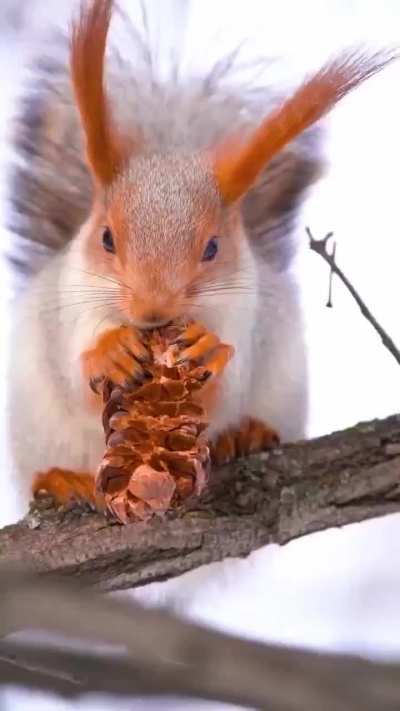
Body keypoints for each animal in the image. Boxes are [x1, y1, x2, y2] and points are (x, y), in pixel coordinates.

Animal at [4, 0, 396, 514]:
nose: (153, 309)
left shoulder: (247, 317)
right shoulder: (66, 314)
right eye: (106, 238)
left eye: (212, 248)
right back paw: (61, 479)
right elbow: (74, 377)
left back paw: (247, 435)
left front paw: (210, 348)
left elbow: (228, 383)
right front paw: (109, 352)